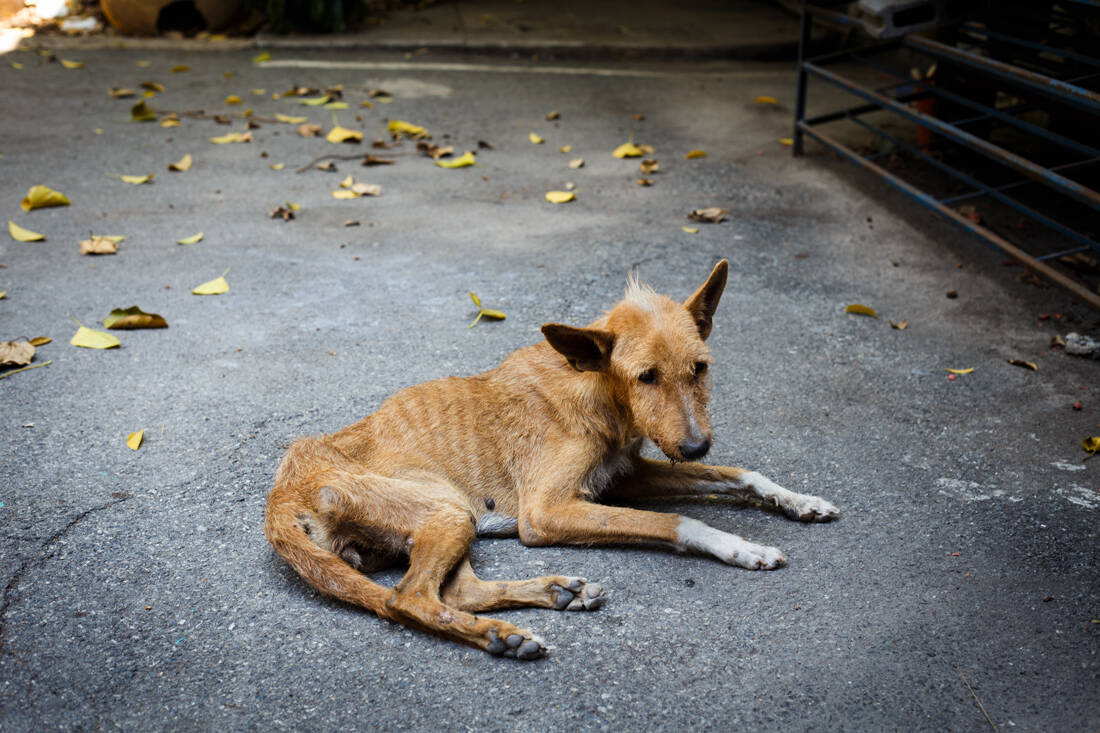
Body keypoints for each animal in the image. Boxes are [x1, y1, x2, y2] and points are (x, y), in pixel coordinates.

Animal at [264, 259, 831, 660]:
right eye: (646, 376)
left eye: (701, 368)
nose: (695, 446)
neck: (597, 390)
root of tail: (281, 493)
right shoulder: (546, 510)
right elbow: (675, 521)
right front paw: (740, 546)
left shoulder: (625, 475)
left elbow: (738, 474)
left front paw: (798, 500)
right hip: (447, 509)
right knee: (407, 600)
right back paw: (500, 635)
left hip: (449, 516)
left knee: (457, 593)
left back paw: (553, 595)